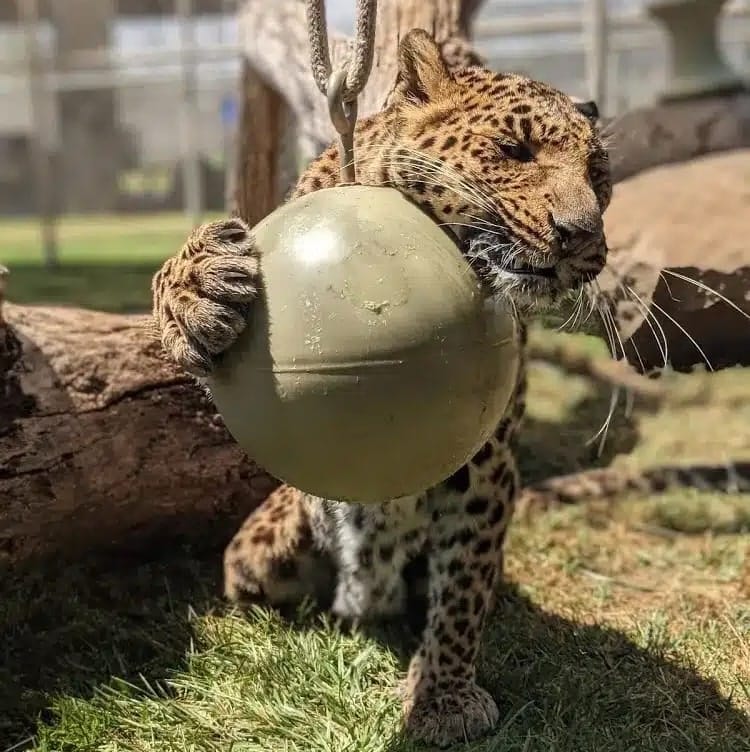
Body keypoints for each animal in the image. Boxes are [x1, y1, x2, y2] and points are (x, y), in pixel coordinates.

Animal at [151, 29, 612, 747]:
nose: (581, 237)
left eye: (598, 176)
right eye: (515, 151)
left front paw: (442, 696)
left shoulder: (486, 466)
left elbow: (462, 595)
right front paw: (197, 288)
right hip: (262, 549)